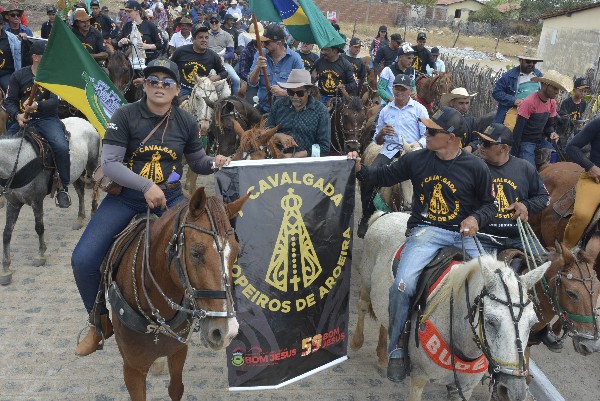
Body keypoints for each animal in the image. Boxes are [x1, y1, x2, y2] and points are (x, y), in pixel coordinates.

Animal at [0, 115, 101, 284]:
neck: (18, 163)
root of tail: (85, 122)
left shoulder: (36, 200)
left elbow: (39, 227)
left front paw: (41, 254)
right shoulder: (13, 202)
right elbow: (7, 233)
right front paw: (6, 269)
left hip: (91, 165)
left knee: (94, 185)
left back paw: (94, 210)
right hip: (75, 172)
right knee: (80, 190)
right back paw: (80, 218)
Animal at [106, 188, 248, 400]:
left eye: (237, 254)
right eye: (196, 253)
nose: (225, 332)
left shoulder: (178, 351)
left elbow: (176, 389)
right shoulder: (132, 369)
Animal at [350, 211, 552, 398]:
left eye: (532, 323)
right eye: (491, 321)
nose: (512, 391)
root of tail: (386, 214)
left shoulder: (463, 389)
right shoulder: (418, 378)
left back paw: (383, 356)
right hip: (367, 282)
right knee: (363, 304)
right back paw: (356, 343)